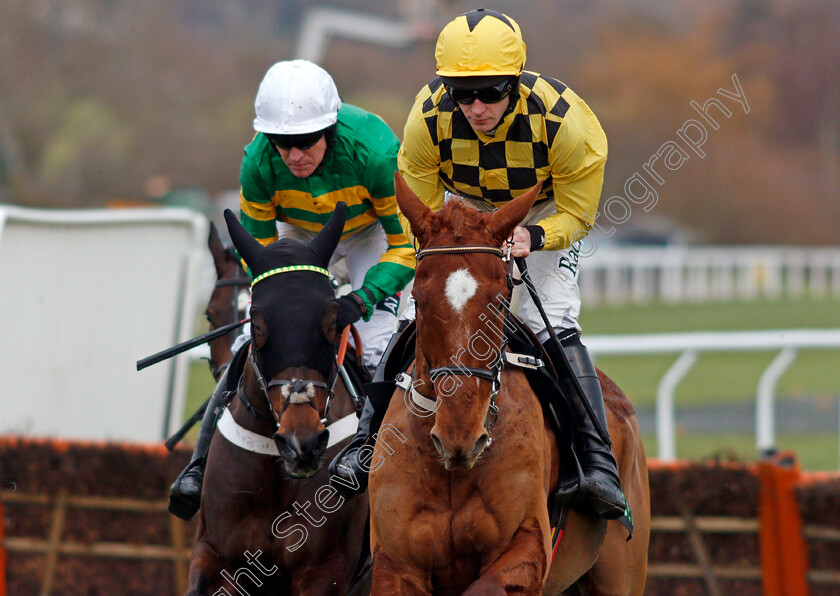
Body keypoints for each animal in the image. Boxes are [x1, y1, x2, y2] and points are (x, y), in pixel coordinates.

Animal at [368, 177, 648, 596]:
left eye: (500, 301)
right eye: (418, 300)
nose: (460, 438)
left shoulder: (526, 547)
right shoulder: (395, 563)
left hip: (621, 572)